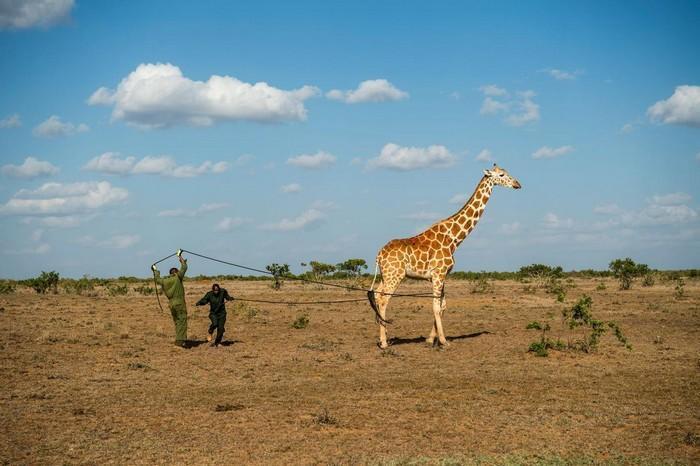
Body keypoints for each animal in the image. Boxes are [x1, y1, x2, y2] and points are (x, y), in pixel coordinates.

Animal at [372, 162, 520, 348]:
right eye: (501, 175)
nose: (517, 184)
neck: (454, 238)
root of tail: (379, 255)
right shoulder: (438, 274)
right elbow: (436, 306)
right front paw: (443, 341)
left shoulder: (441, 276)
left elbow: (443, 306)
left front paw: (430, 339)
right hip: (395, 276)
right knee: (383, 300)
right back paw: (384, 342)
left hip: (385, 276)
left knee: (377, 295)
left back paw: (384, 337)